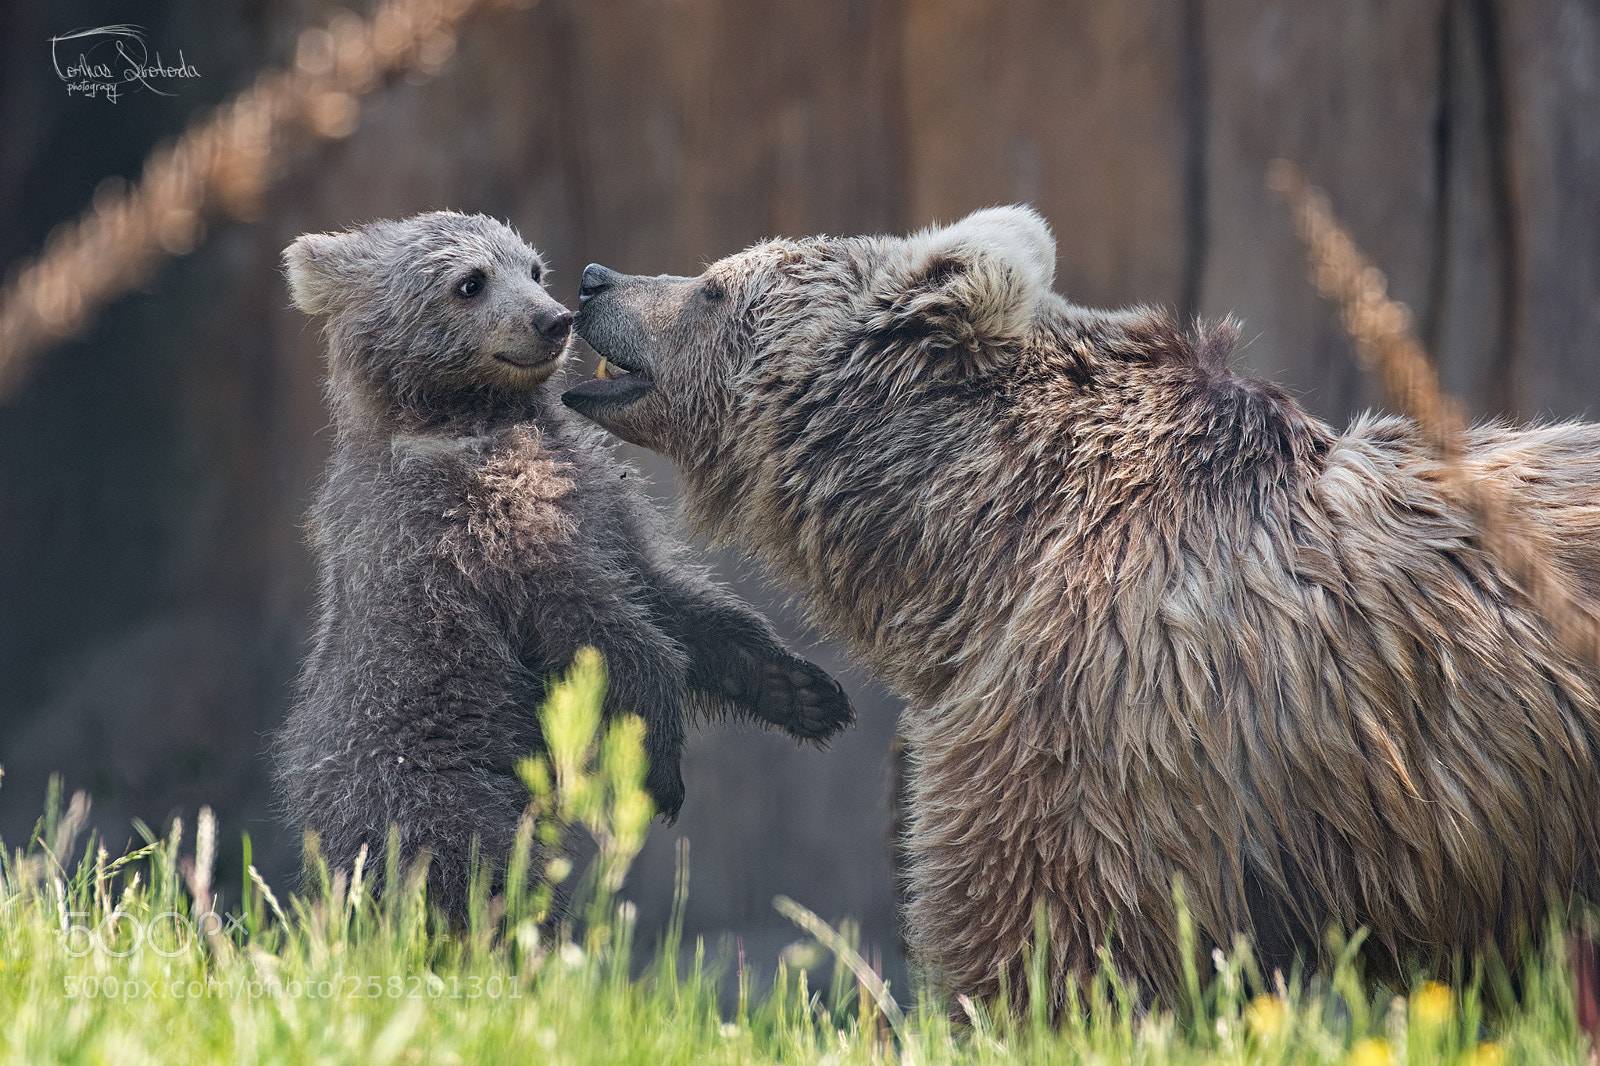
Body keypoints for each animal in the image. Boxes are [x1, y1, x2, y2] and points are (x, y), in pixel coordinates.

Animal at [274, 211, 854, 919]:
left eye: (531, 267)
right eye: (470, 282)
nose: (554, 319)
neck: (472, 422)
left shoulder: (600, 510)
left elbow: (672, 603)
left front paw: (802, 690)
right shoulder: (485, 536)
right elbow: (605, 634)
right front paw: (659, 769)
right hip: (434, 790)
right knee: (480, 881)